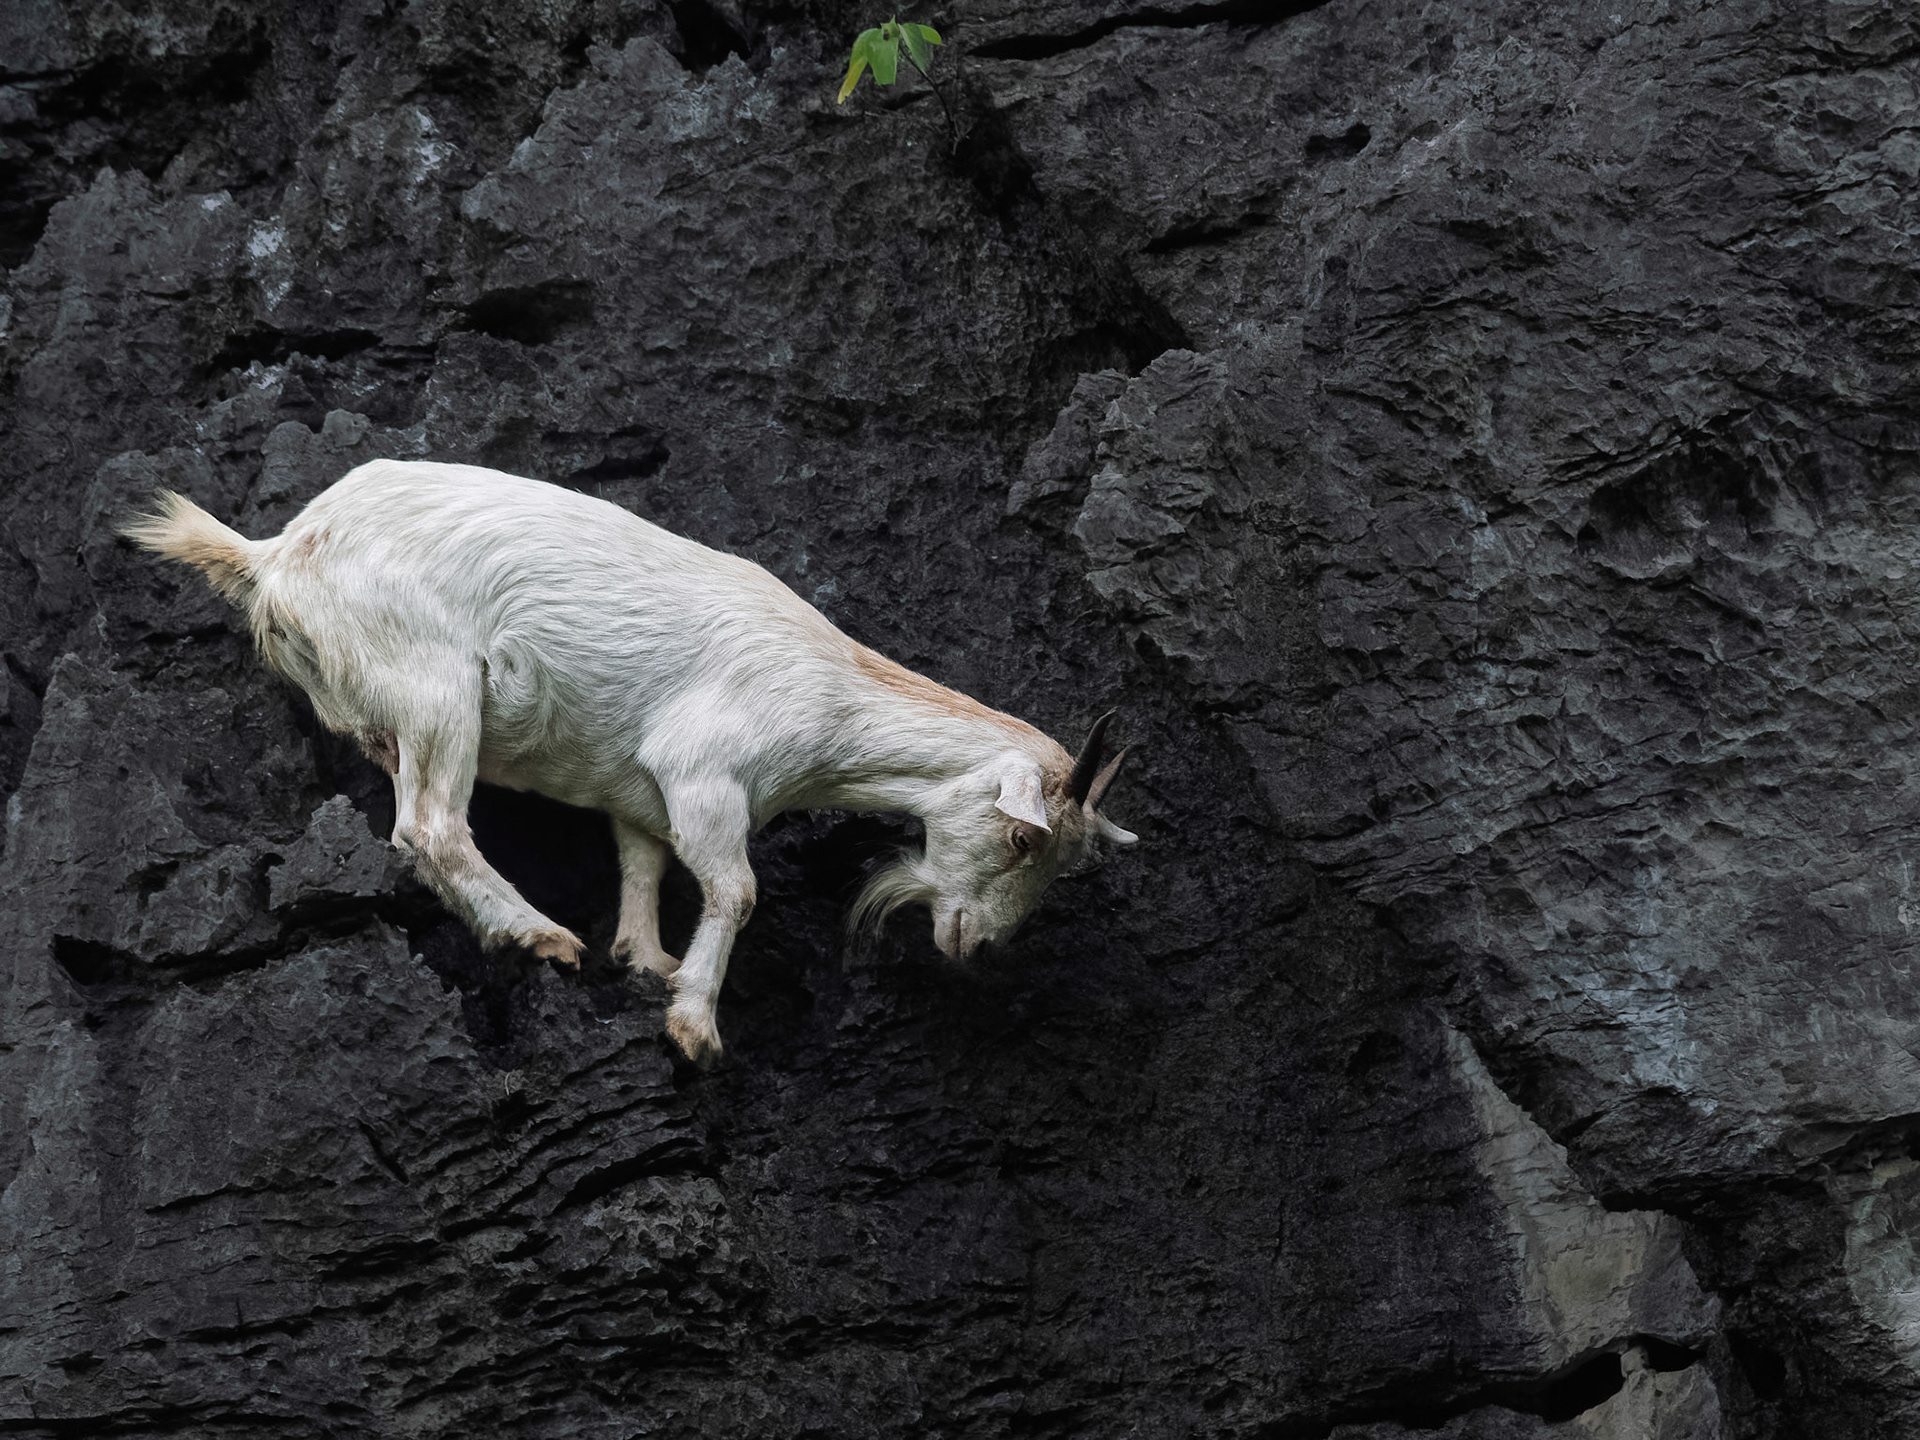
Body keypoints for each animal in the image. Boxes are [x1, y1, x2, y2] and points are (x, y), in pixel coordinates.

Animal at [123, 460, 1137, 1061]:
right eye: (1023, 840)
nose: (981, 944)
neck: (837, 698)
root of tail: (278, 556)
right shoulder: (705, 776)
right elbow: (736, 890)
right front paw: (694, 1022)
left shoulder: (638, 792)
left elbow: (643, 864)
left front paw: (645, 958)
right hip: (434, 685)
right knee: (432, 826)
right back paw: (537, 934)